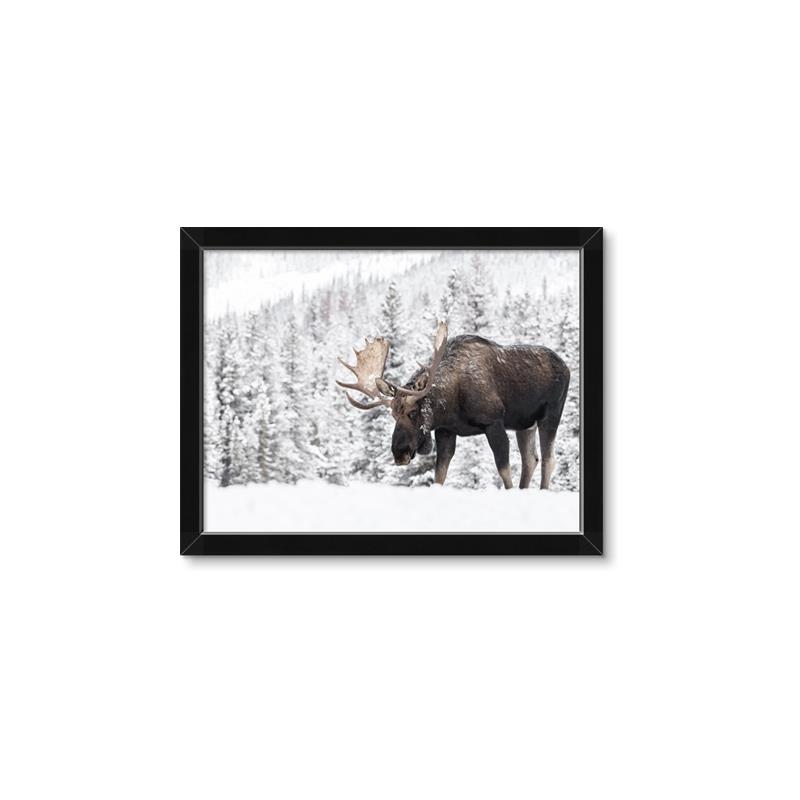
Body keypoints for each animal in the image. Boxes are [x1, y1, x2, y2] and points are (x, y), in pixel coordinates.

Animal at [336, 322, 570, 489]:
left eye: (413, 412)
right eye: (393, 414)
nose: (399, 453)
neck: (451, 405)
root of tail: (566, 367)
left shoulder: (493, 423)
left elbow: (504, 472)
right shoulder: (445, 431)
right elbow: (439, 476)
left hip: (551, 415)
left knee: (548, 459)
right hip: (524, 425)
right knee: (530, 459)